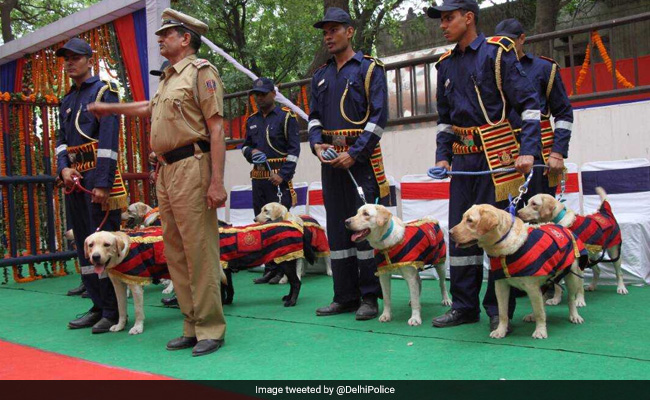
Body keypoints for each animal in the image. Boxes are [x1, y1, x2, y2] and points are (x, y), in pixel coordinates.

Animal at [450, 205, 584, 340]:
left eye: (470, 220)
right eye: (463, 218)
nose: (450, 233)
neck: (504, 250)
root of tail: (561, 226)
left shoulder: (532, 287)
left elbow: (539, 312)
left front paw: (540, 331)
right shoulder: (501, 286)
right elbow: (503, 312)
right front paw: (500, 330)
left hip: (572, 276)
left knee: (570, 299)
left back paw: (574, 316)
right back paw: (532, 316)